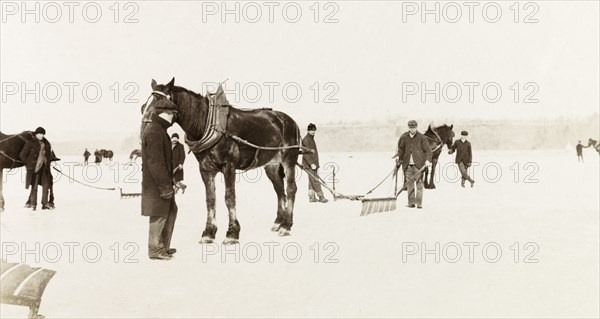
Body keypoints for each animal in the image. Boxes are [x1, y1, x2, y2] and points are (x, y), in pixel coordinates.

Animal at [142, 79, 304, 244]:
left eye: (159, 105)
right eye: (144, 106)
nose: (145, 130)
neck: (209, 124)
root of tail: (289, 120)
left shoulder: (229, 166)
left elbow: (229, 198)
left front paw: (232, 233)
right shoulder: (205, 169)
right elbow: (210, 199)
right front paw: (208, 232)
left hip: (289, 160)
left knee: (291, 189)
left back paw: (286, 225)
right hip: (271, 165)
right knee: (279, 190)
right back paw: (278, 222)